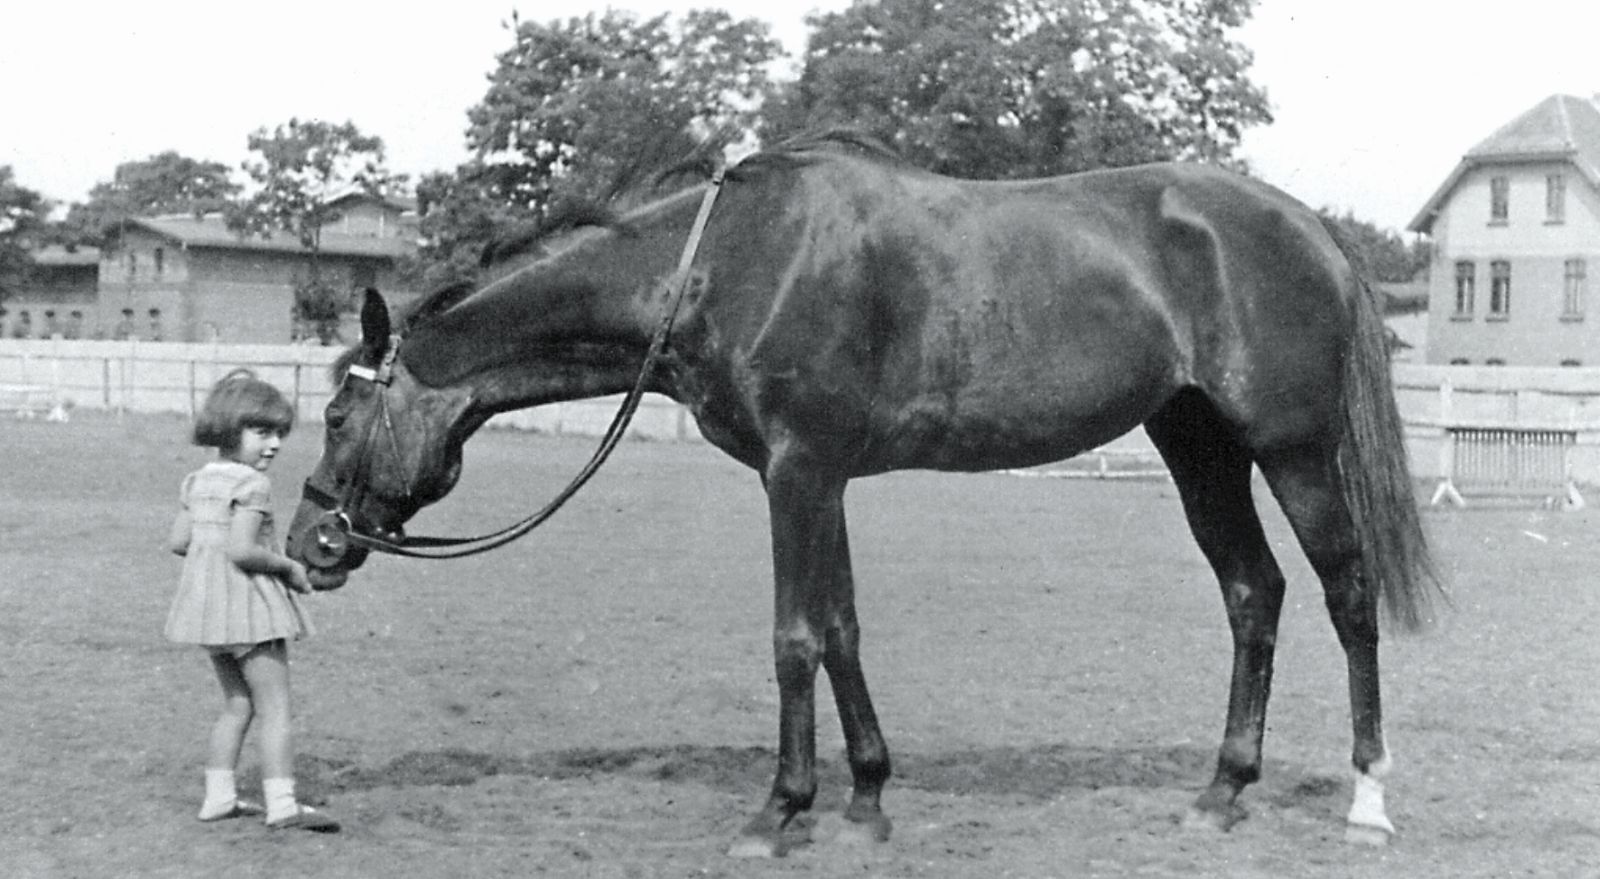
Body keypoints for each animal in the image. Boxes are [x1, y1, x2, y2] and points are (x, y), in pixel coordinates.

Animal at [284, 132, 1440, 858]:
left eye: (337, 416)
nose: (309, 542)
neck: (721, 265)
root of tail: (1308, 226)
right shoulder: (821, 475)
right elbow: (841, 628)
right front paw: (869, 799)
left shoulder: (796, 471)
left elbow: (795, 635)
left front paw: (778, 812)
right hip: (1198, 447)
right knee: (1253, 595)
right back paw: (1221, 791)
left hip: (1291, 449)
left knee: (1346, 594)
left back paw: (1371, 799)